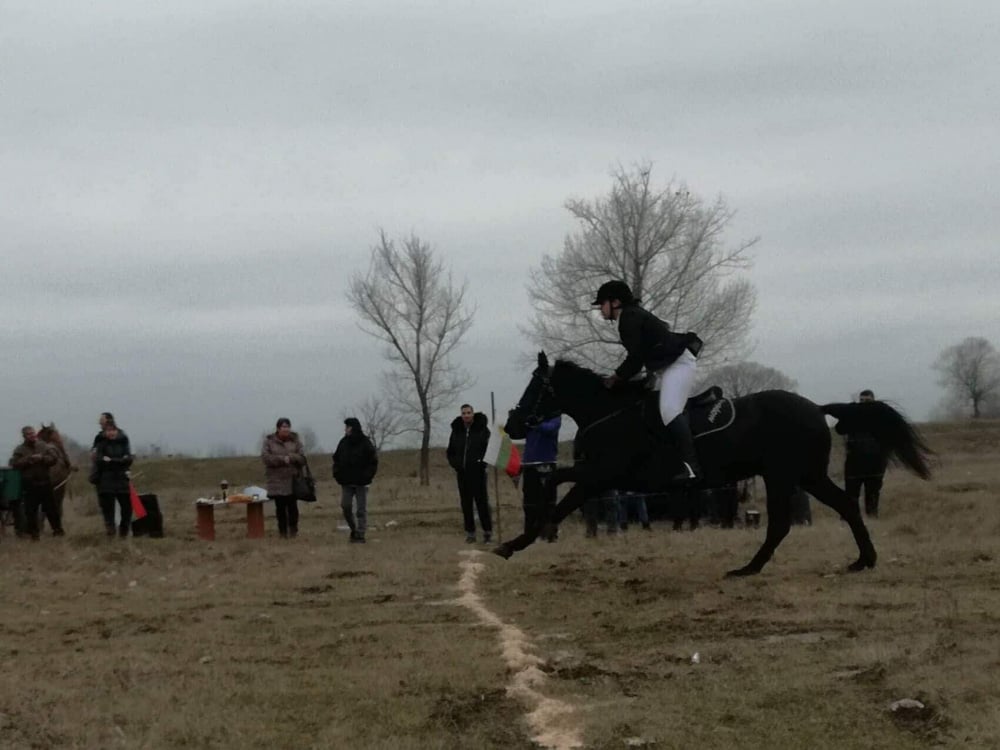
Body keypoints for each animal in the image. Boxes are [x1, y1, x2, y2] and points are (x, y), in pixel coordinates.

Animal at [496, 352, 932, 576]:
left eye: (537, 386)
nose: (513, 423)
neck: (609, 412)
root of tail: (815, 407)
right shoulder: (598, 476)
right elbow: (554, 480)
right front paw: (528, 533)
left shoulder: (602, 476)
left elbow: (560, 494)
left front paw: (517, 541)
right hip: (803, 476)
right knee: (842, 506)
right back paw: (862, 560)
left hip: (784, 476)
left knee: (786, 521)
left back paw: (751, 568)